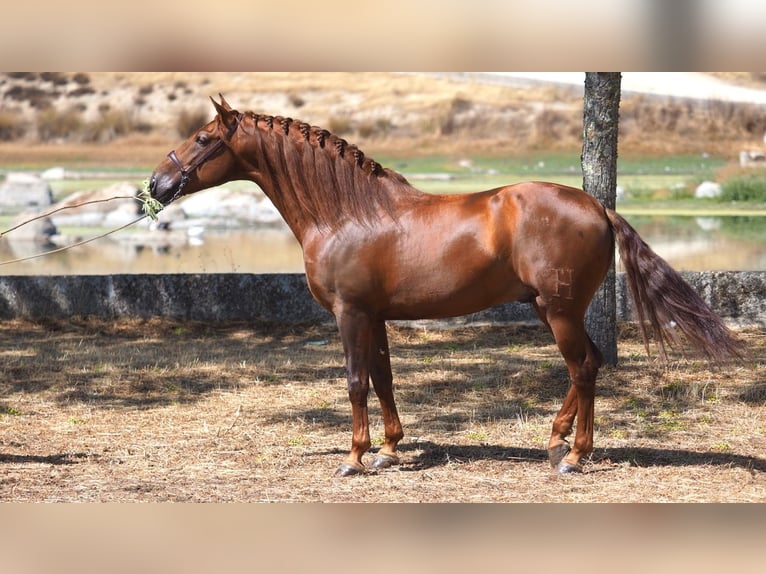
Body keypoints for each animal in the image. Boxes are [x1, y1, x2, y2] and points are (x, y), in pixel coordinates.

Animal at [147, 97, 740, 480]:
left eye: (203, 139)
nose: (156, 183)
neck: (349, 213)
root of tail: (597, 206)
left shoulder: (350, 313)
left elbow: (356, 383)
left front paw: (354, 458)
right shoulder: (375, 316)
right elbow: (383, 379)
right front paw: (388, 450)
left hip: (560, 311)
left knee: (584, 368)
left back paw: (573, 457)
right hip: (551, 310)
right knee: (588, 364)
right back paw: (555, 443)